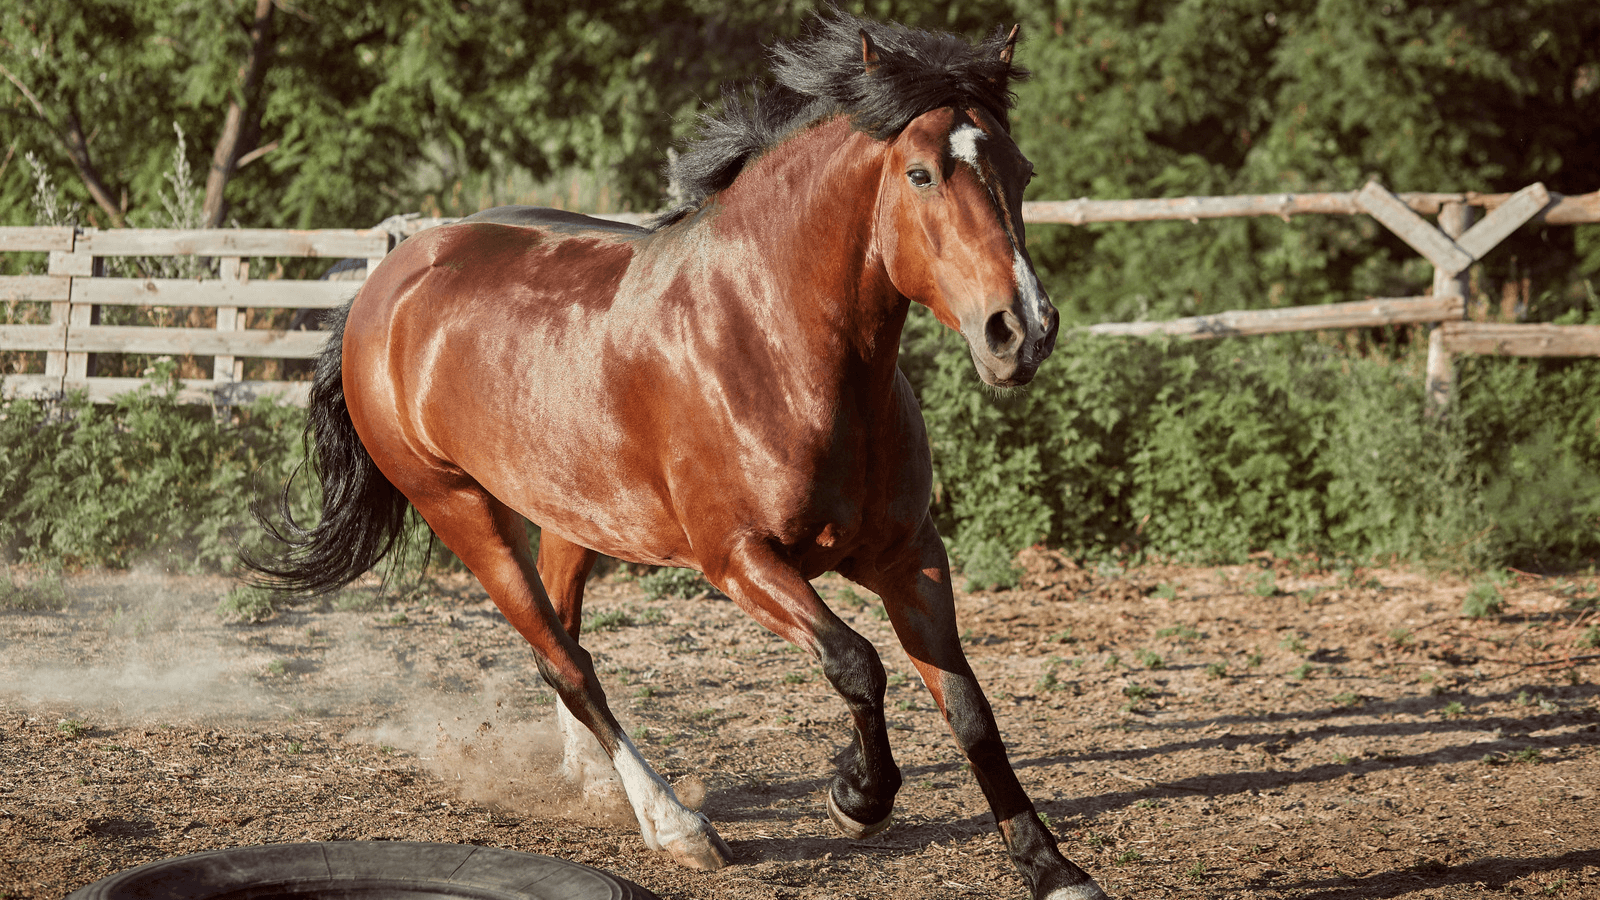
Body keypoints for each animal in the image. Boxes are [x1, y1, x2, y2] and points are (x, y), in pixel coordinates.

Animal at [249, 12, 1107, 896]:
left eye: (1020, 170)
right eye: (921, 173)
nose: (1022, 331)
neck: (771, 341)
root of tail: (386, 282)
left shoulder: (910, 555)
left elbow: (970, 709)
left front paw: (1050, 866)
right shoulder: (739, 559)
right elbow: (856, 662)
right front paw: (856, 798)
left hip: (572, 515)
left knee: (565, 645)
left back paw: (598, 786)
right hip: (459, 509)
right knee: (564, 662)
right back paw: (675, 826)